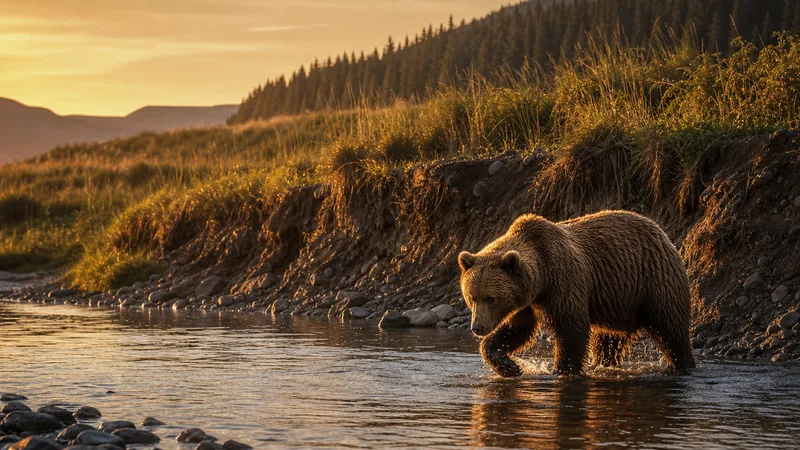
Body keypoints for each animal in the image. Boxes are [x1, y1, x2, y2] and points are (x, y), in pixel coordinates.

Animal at [458, 210, 695, 377]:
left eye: (490, 298)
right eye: (472, 298)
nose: (477, 327)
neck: (541, 278)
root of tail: (662, 233)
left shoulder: (564, 282)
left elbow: (571, 329)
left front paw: (562, 370)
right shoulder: (527, 302)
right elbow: (516, 331)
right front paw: (510, 366)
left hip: (654, 282)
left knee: (670, 328)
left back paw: (682, 365)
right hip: (619, 302)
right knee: (609, 339)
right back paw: (604, 363)